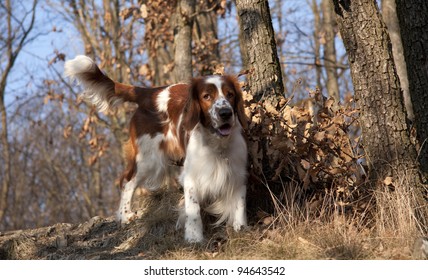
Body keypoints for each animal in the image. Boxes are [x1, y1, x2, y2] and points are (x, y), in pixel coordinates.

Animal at [65, 55, 249, 242]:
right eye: (206, 96)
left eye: (230, 94)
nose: (225, 113)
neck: (217, 145)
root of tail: (150, 94)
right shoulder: (191, 176)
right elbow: (193, 208)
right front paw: (193, 237)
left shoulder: (238, 172)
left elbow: (240, 204)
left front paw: (241, 229)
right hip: (148, 159)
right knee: (127, 181)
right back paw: (125, 215)